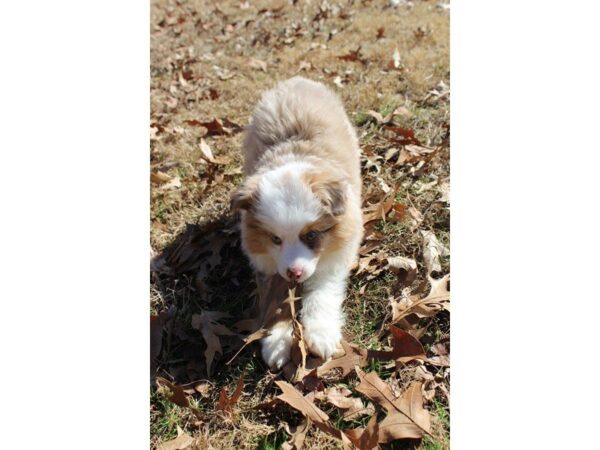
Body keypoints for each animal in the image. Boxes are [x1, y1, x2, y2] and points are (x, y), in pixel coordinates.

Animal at [231, 76, 360, 370]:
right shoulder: (268, 265)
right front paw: (277, 343)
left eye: (311, 236)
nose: (295, 273)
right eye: (275, 239)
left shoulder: (333, 256)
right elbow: (276, 301)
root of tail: (296, 80)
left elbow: (322, 291)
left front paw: (321, 334)